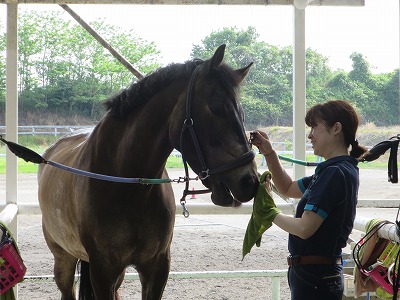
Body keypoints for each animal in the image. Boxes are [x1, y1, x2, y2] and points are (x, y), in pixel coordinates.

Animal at [38, 44, 260, 300]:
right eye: (216, 107)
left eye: (241, 112)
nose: (249, 181)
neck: (129, 186)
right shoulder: (102, 271)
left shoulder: (156, 267)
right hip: (64, 260)